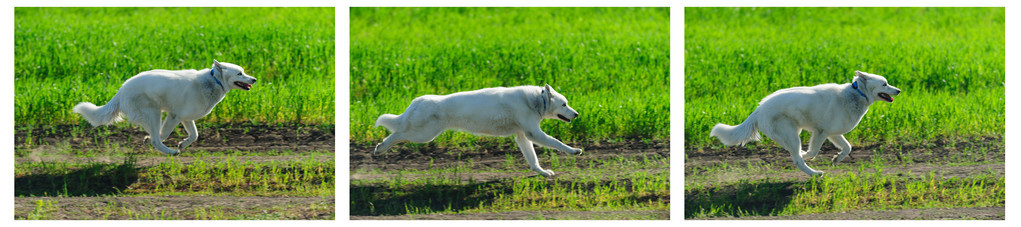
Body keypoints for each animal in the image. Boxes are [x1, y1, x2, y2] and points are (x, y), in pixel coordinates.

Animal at [72, 60, 255, 155]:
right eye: (239, 73)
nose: (254, 79)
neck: (214, 81)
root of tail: (121, 89)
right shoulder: (174, 116)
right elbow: (164, 134)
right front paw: (167, 144)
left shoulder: (186, 118)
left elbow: (194, 135)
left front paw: (182, 144)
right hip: (154, 113)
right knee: (156, 139)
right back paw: (170, 151)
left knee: (156, 136)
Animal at [375, 84, 584, 176]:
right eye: (564, 104)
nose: (577, 114)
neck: (535, 100)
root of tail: (418, 100)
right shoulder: (534, 133)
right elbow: (557, 143)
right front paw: (574, 151)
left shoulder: (523, 136)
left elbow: (533, 159)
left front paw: (542, 172)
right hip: (423, 135)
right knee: (397, 133)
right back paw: (380, 148)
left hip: (423, 134)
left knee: (398, 133)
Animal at [710, 71, 902, 175]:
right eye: (885, 84)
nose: (899, 90)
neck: (857, 94)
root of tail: (759, 109)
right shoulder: (821, 132)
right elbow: (814, 151)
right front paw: (809, 156)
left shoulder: (833, 133)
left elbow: (848, 148)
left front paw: (836, 159)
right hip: (792, 135)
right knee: (797, 160)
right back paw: (815, 174)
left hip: (791, 135)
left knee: (794, 155)